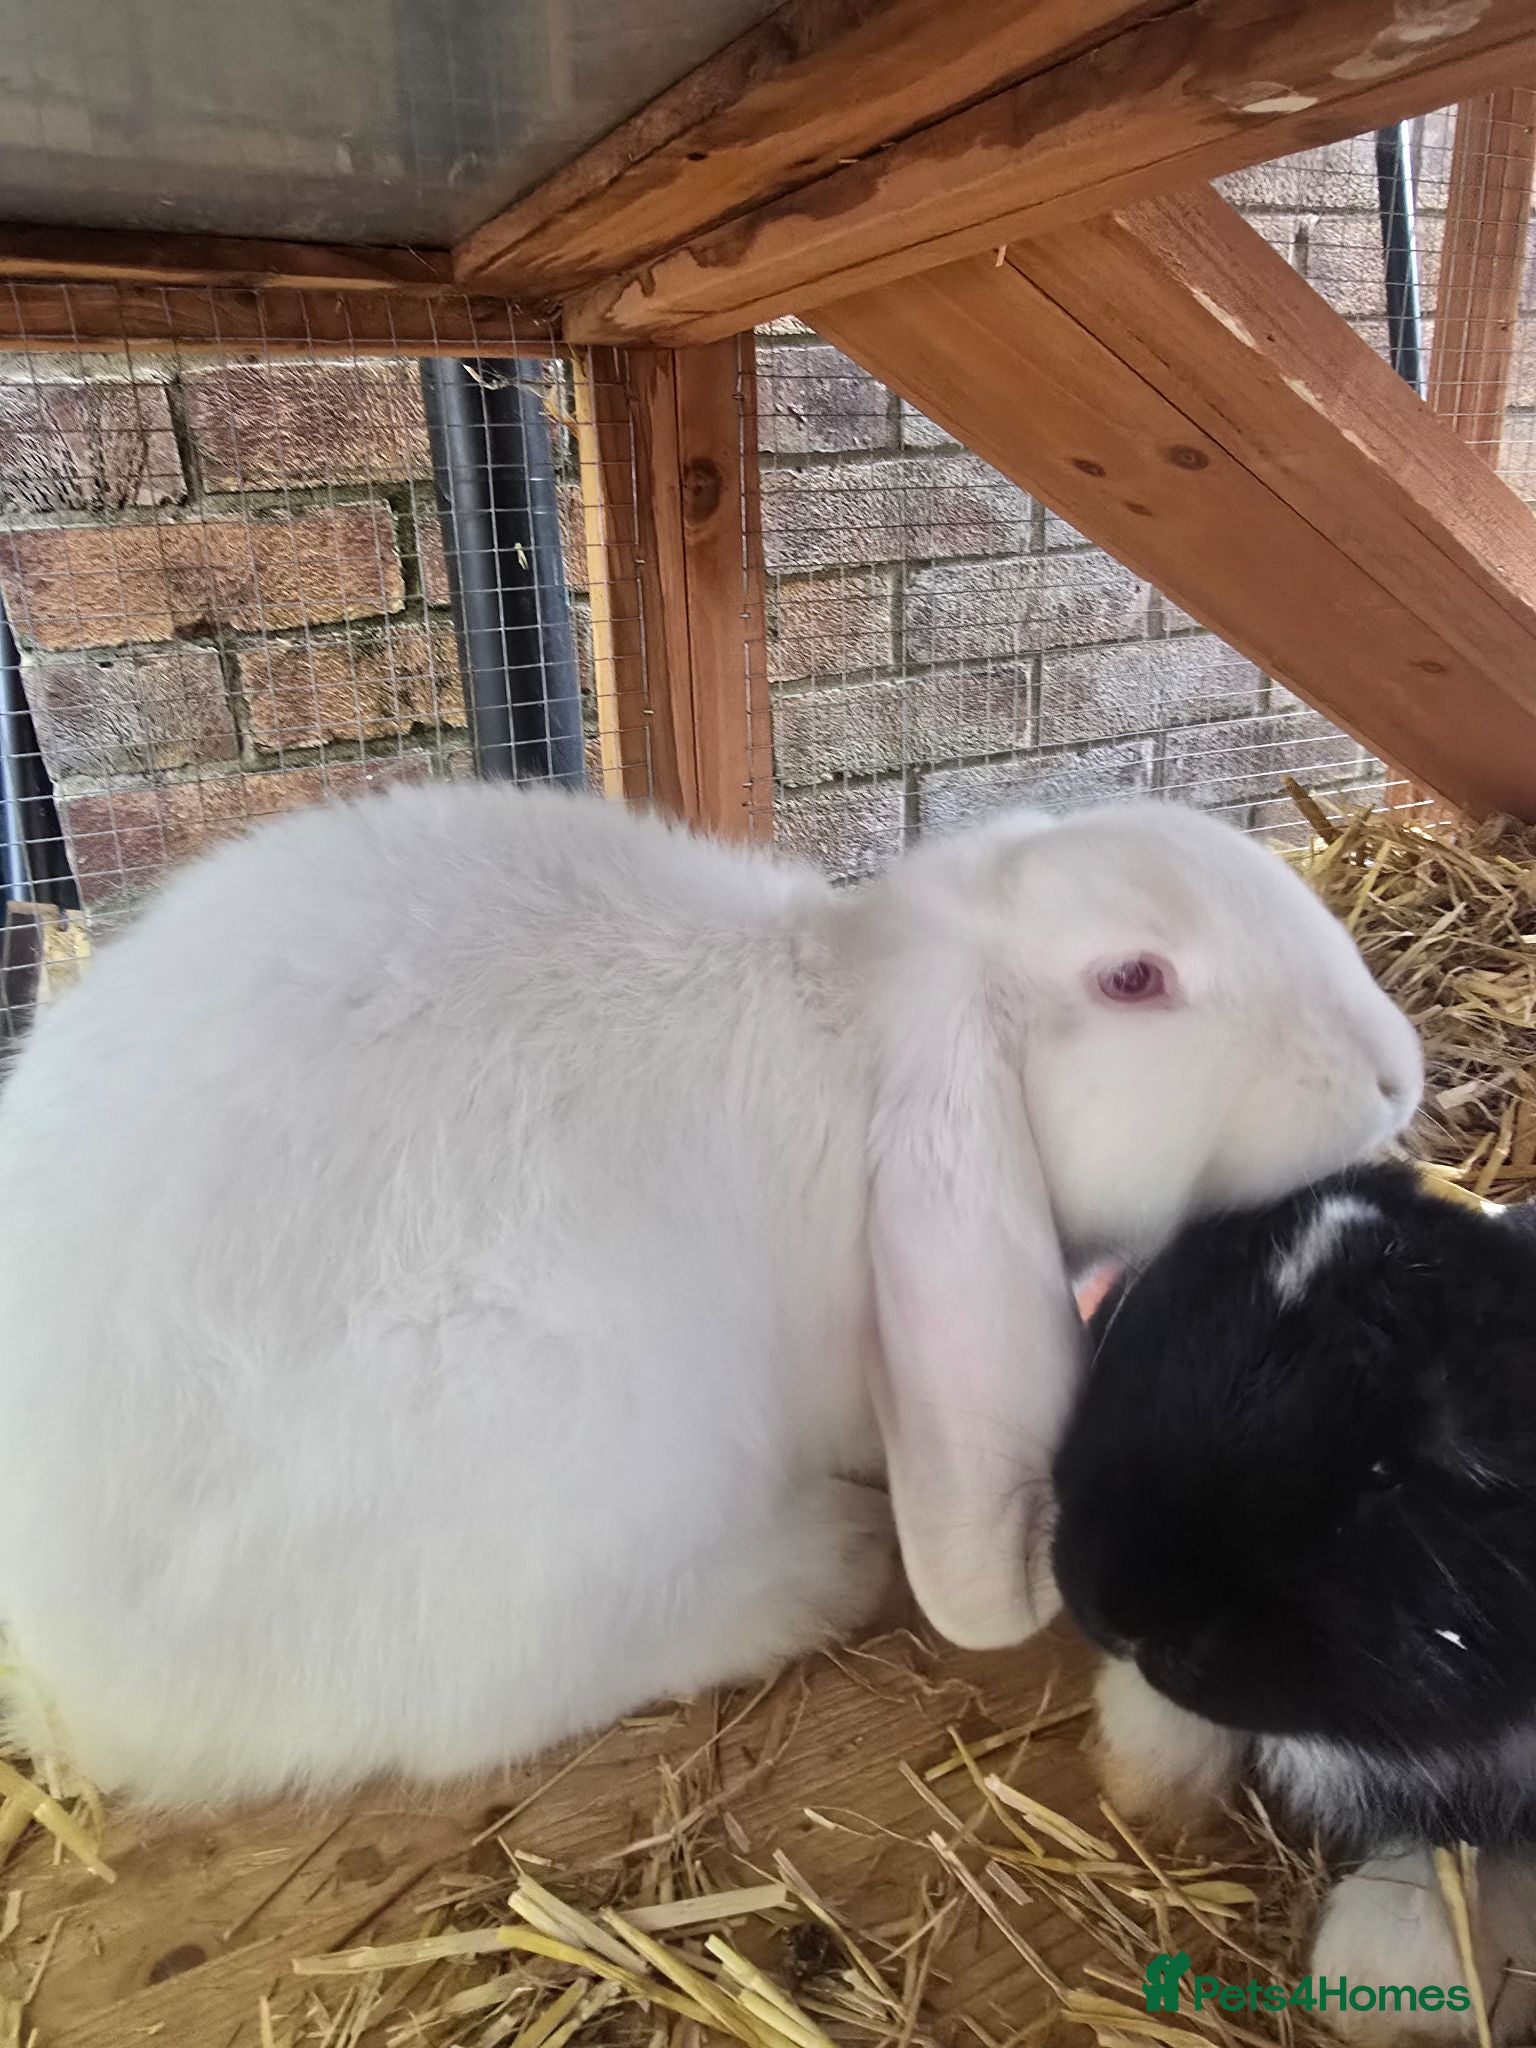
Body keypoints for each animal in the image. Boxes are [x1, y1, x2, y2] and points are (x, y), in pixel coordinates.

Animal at [0, 783, 1419, 1808]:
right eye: (1135, 980)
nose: (1396, 1073)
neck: (864, 1032)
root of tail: (81, 1682)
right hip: (569, 1435)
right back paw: (820, 1569)